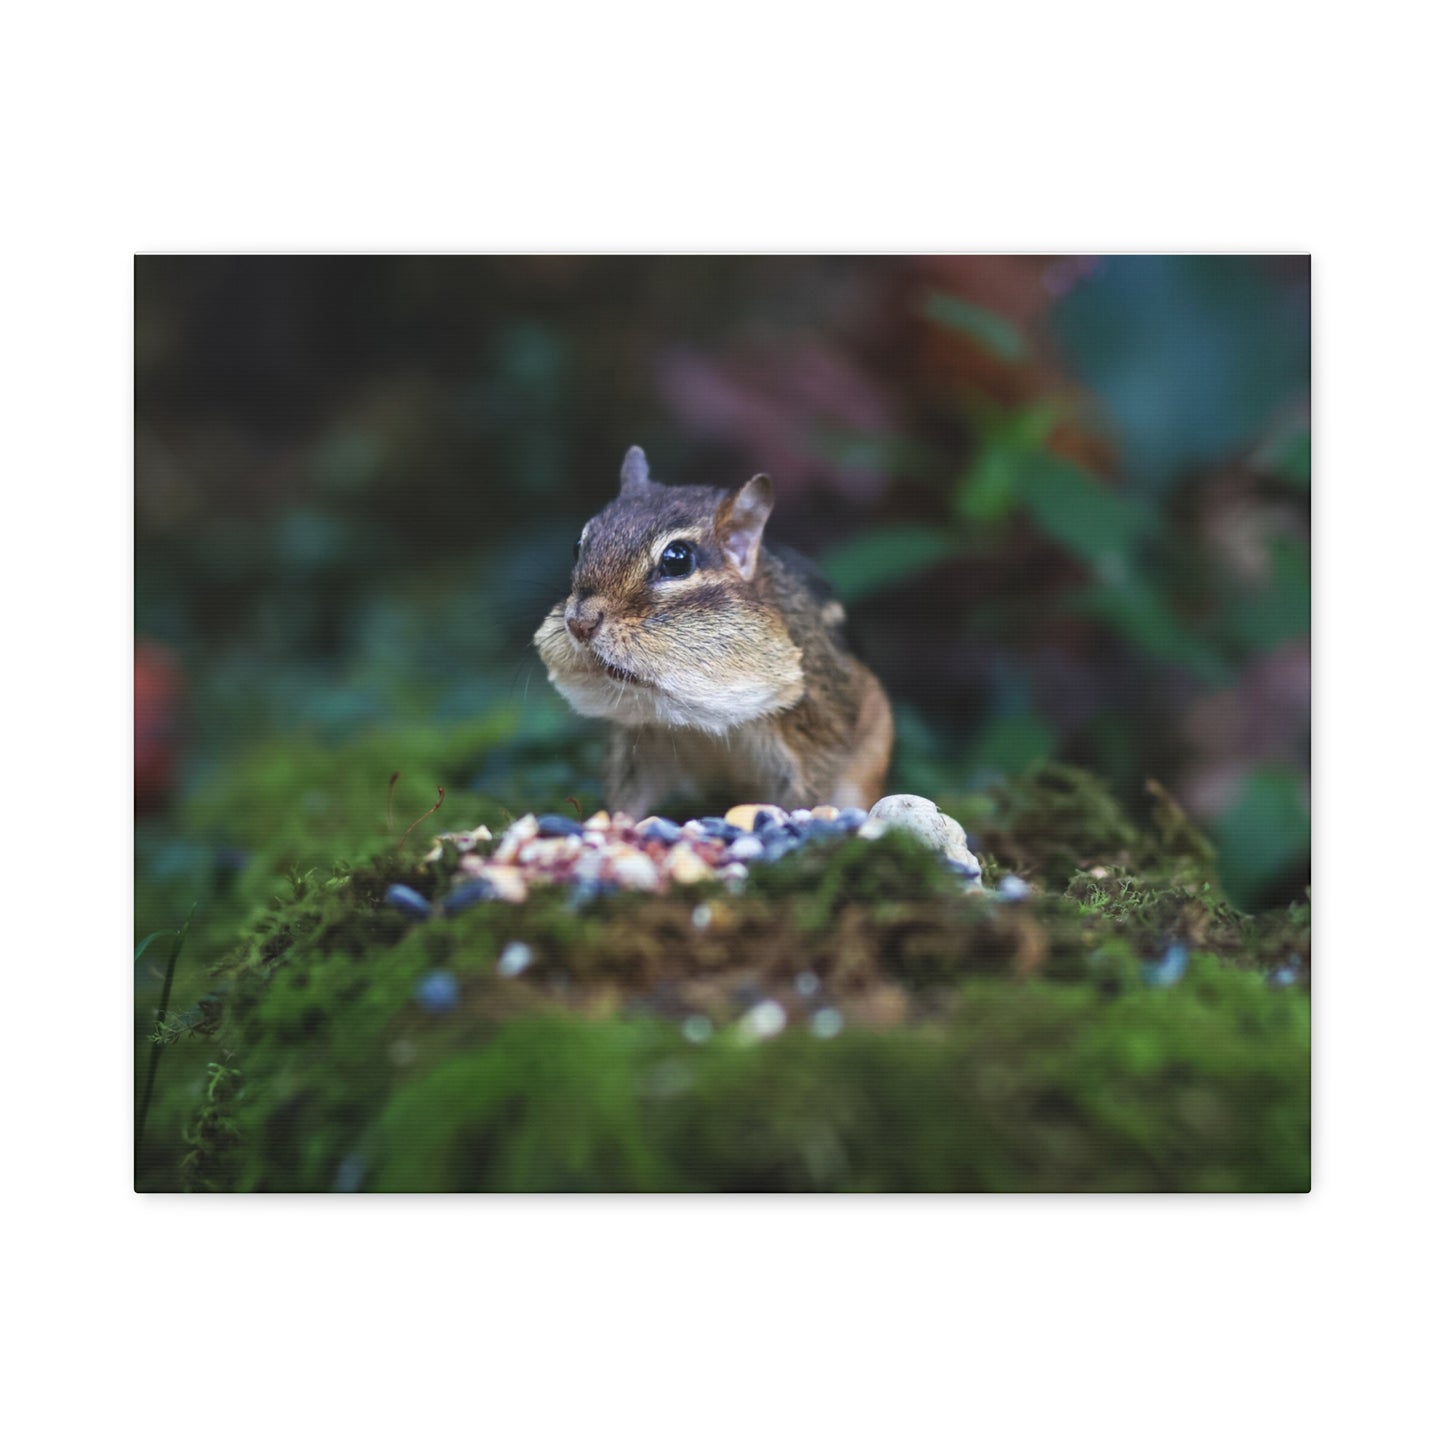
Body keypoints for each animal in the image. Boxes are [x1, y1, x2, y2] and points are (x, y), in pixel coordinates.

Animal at [533, 446, 893, 819]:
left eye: (677, 560)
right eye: (578, 545)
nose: (580, 623)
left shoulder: (814, 736)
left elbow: (808, 793)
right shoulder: (638, 743)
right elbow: (626, 797)